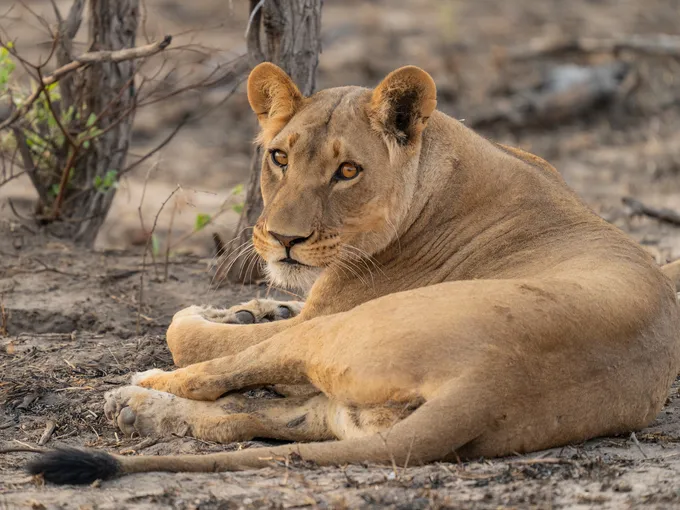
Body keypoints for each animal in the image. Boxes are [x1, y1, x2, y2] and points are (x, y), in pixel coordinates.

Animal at [28, 63, 680, 484]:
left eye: (347, 171)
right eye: (279, 156)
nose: (285, 239)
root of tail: (493, 384)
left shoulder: (328, 310)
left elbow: (189, 333)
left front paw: (214, 313)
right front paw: (249, 306)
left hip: (339, 333)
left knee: (220, 379)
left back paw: (135, 388)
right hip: (349, 409)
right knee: (259, 422)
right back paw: (135, 409)